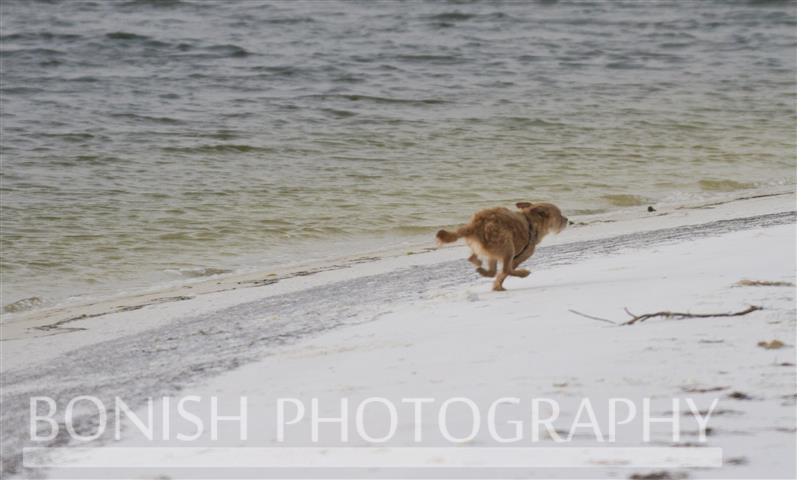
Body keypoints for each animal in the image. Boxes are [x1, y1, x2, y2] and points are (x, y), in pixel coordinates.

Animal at [436, 202, 564, 290]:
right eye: (560, 215)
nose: (568, 220)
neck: (532, 224)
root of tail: (477, 223)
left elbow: (500, 274)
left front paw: (497, 286)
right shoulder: (518, 258)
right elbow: (504, 273)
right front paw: (498, 287)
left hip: (492, 248)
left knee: (480, 263)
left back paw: (480, 267)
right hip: (507, 246)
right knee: (506, 269)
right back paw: (523, 273)